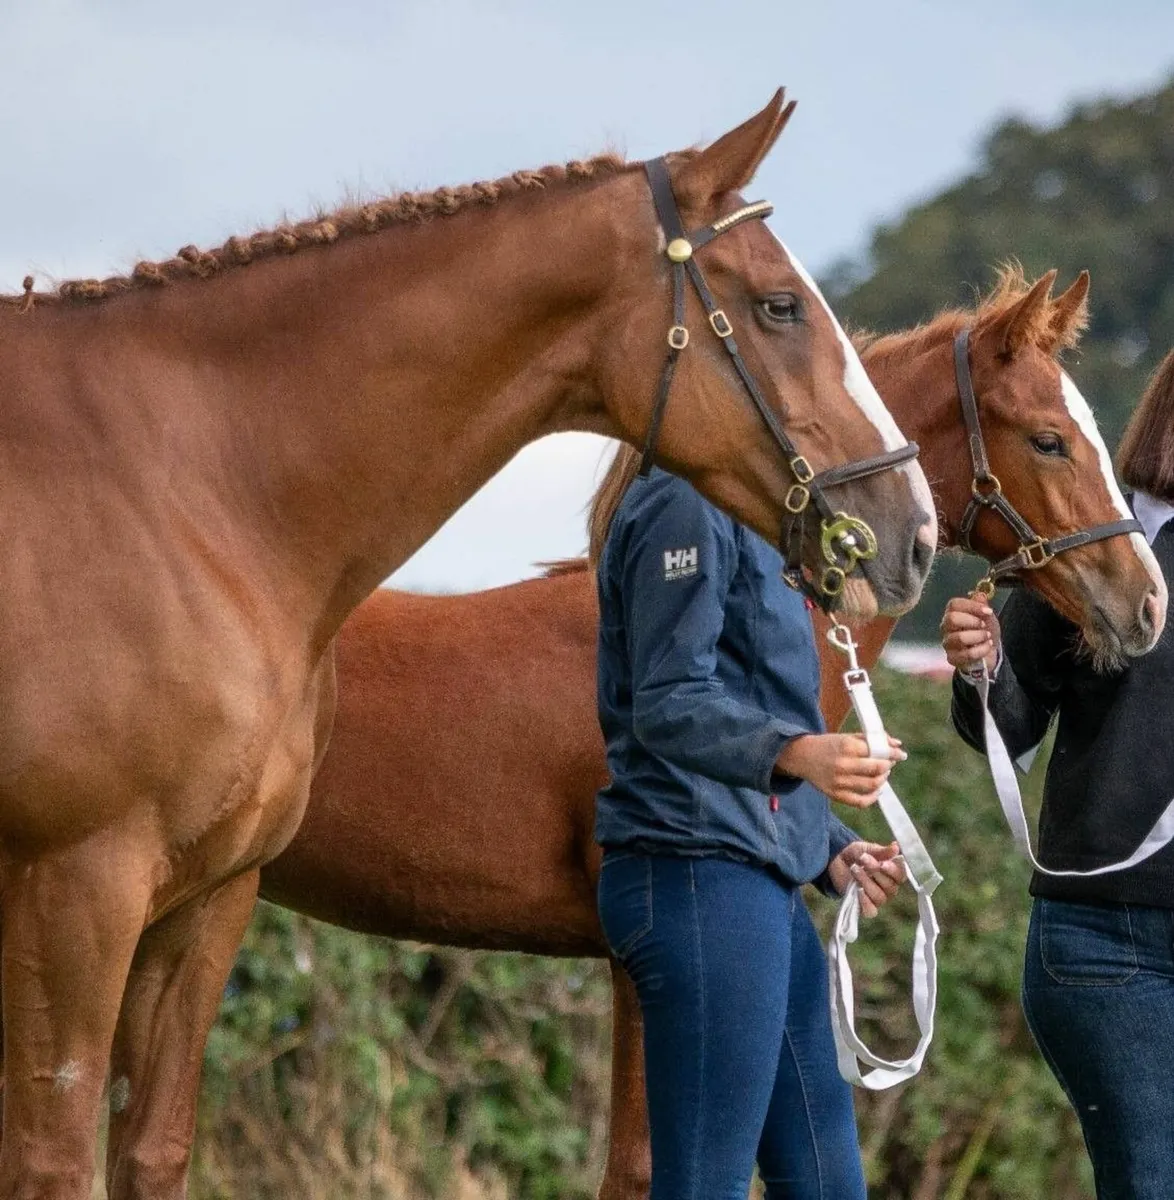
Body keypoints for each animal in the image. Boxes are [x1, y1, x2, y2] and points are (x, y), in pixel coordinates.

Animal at [0, 88, 939, 1199]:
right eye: (781, 306)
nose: (910, 531)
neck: (190, 490)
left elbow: (153, 1151)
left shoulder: (206, 902)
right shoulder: (77, 897)